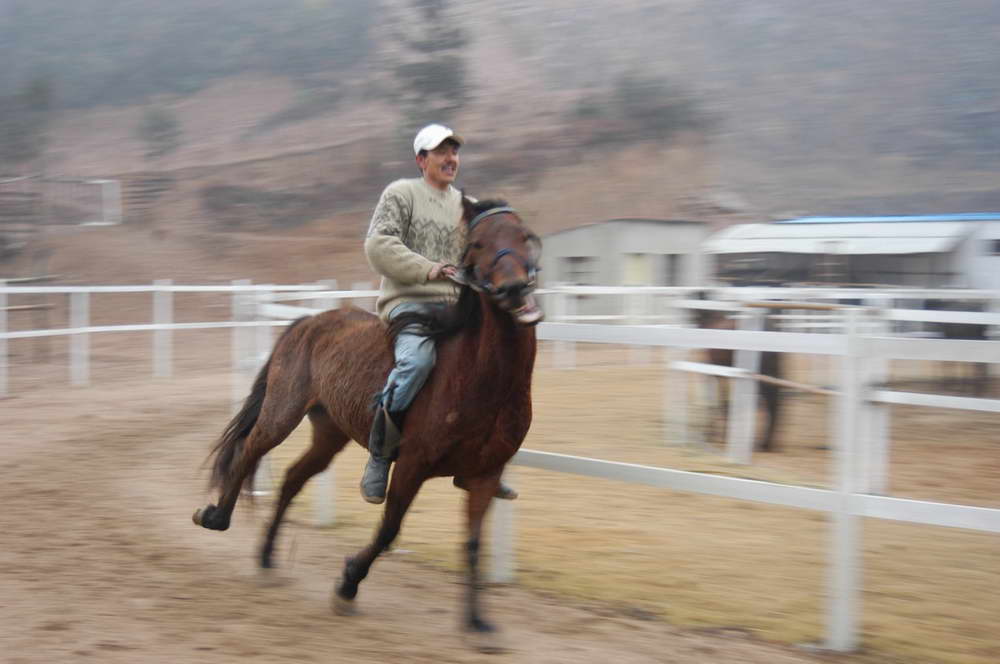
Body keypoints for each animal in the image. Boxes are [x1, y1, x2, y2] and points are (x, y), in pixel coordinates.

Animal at [192, 196, 544, 648]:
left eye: (524, 235)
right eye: (478, 243)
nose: (515, 289)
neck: (482, 379)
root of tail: (309, 321)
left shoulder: (485, 474)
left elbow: (472, 544)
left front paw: (477, 622)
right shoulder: (412, 465)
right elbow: (389, 529)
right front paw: (347, 584)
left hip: (329, 433)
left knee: (292, 479)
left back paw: (267, 555)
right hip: (282, 414)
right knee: (249, 451)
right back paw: (216, 517)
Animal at [692, 298, 784, 454]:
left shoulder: (717, 373)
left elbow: (718, 401)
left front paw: (715, 433)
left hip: (762, 378)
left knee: (771, 403)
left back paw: (763, 443)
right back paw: (767, 443)